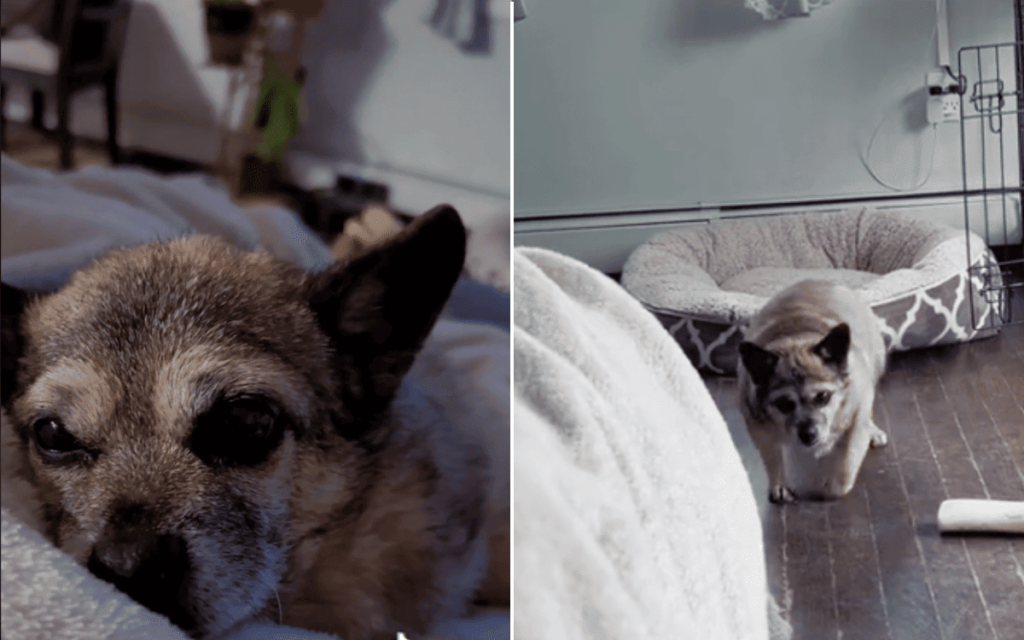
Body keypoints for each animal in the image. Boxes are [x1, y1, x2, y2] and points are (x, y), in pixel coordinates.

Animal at [737, 278, 888, 503]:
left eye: (823, 397)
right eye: (783, 404)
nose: (808, 434)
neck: (795, 339)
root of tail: (820, 280)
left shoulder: (857, 414)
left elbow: (844, 471)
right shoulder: (758, 426)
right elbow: (773, 459)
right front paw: (779, 484)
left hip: (877, 363)